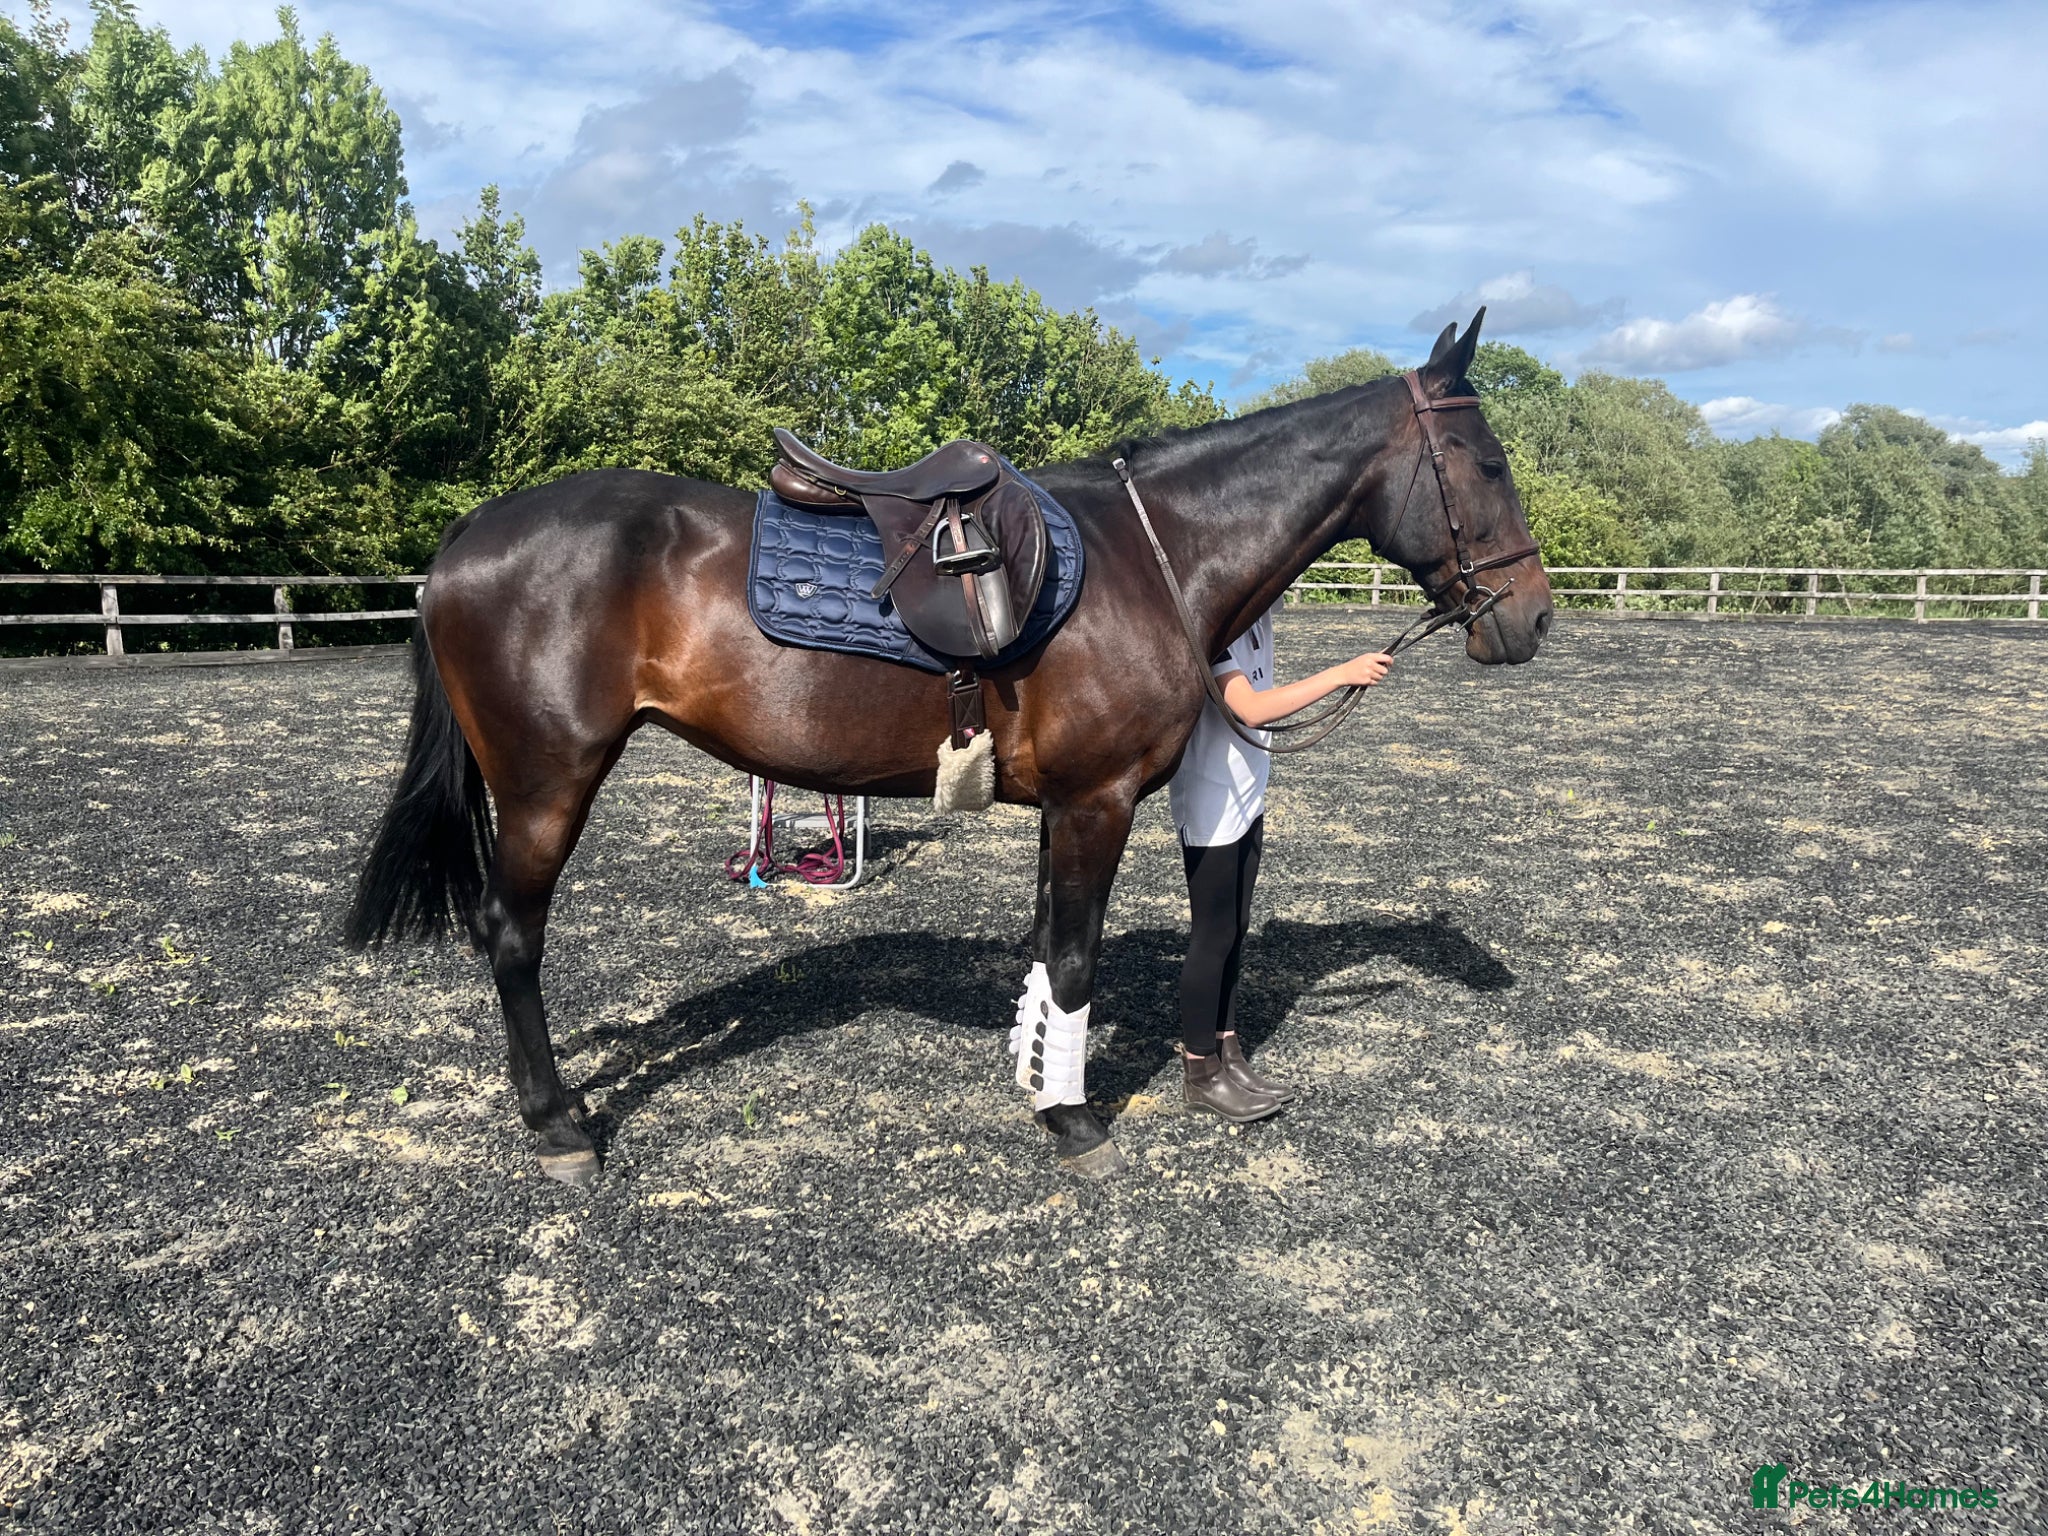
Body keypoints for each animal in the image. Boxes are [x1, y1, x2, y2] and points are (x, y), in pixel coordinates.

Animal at [344, 310, 1553, 1187]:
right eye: (1485, 463)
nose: (1533, 620)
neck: (1154, 554)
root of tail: (467, 537)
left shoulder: (1064, 806)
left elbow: (1047, 953)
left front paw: (1033, 1072)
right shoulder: (1099, 800)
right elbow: (1077, 959)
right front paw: (1072, 1120)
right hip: (547, 784)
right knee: (511, 934)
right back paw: (557, 1126)